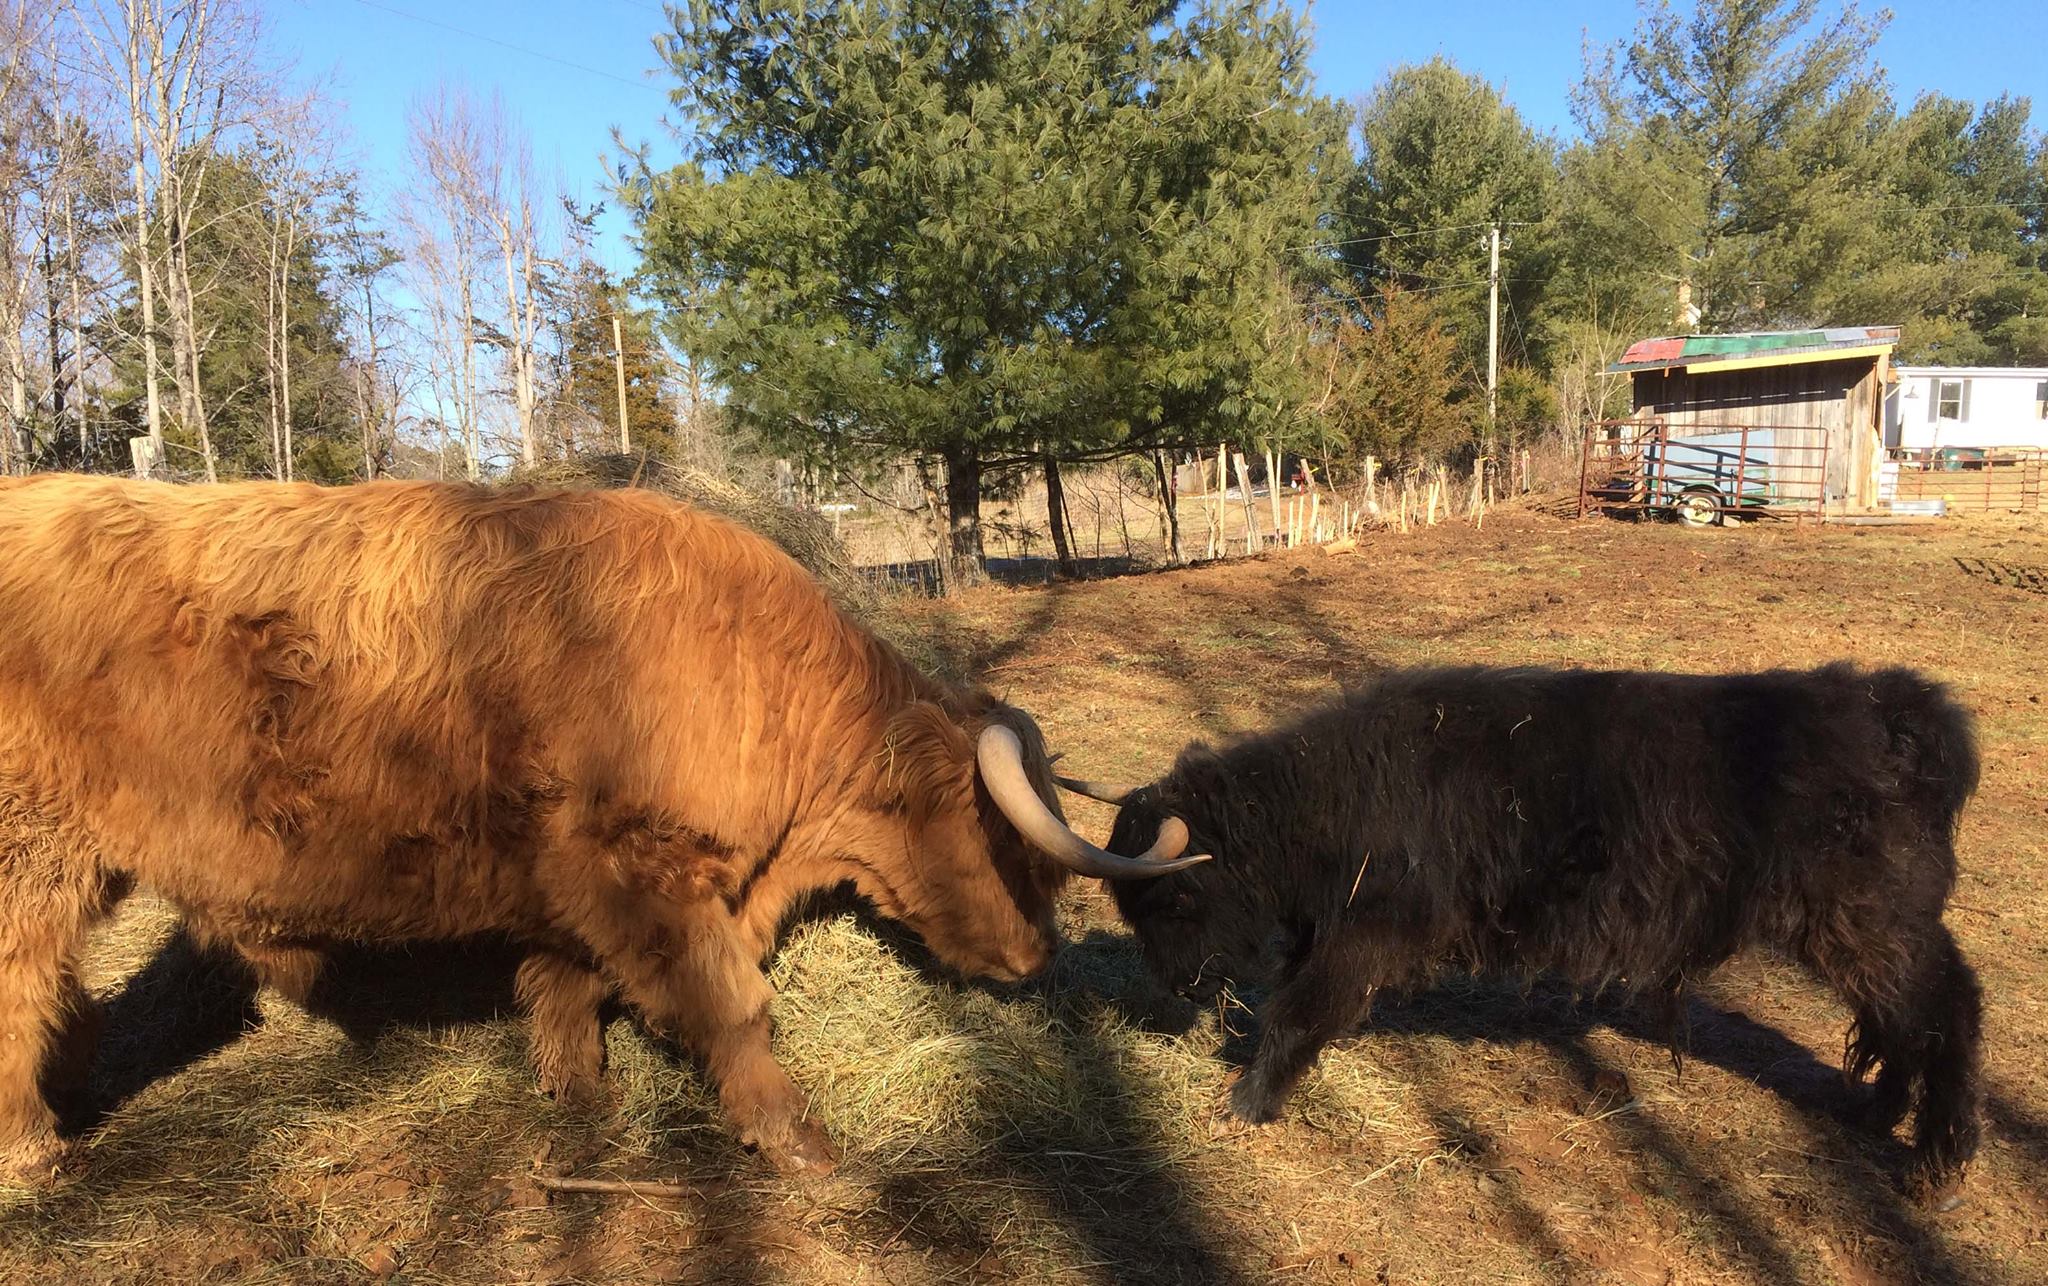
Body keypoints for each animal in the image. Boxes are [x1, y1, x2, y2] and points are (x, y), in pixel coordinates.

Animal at [0, 474, 1200, 1184]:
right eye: (1006, 845)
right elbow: (732, 1006)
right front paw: (800, 1142)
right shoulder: (642, 866)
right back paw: (35, 1151)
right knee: (21, 986)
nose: (1039, 956)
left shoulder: (574, 875)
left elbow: (565, 984)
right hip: (30, 853)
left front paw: (580, 1094)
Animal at [1075, 663, 1984, 1199]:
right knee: (1902, 1016)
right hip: (1864, 931)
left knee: (1949, 1006)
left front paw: (1248, 1102)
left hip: (1871, 922)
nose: (1174, 991)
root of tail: (1898, 706)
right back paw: (1878, 1112)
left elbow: (1300, 1009)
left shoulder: (1375, 930)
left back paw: (1938, 1159)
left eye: (1170, 903)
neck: (1336, 795)